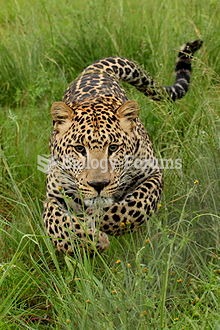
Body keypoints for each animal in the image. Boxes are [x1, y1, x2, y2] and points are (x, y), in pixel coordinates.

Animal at [43, 40, 203, 254]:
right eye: (79, 149)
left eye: (113, 148)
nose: (98, 184)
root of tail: (94, 70)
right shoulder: (54, 195)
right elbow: (56, 223)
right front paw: (90, 240)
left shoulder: (153, 175)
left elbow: (131, 207)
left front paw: (100, 222)